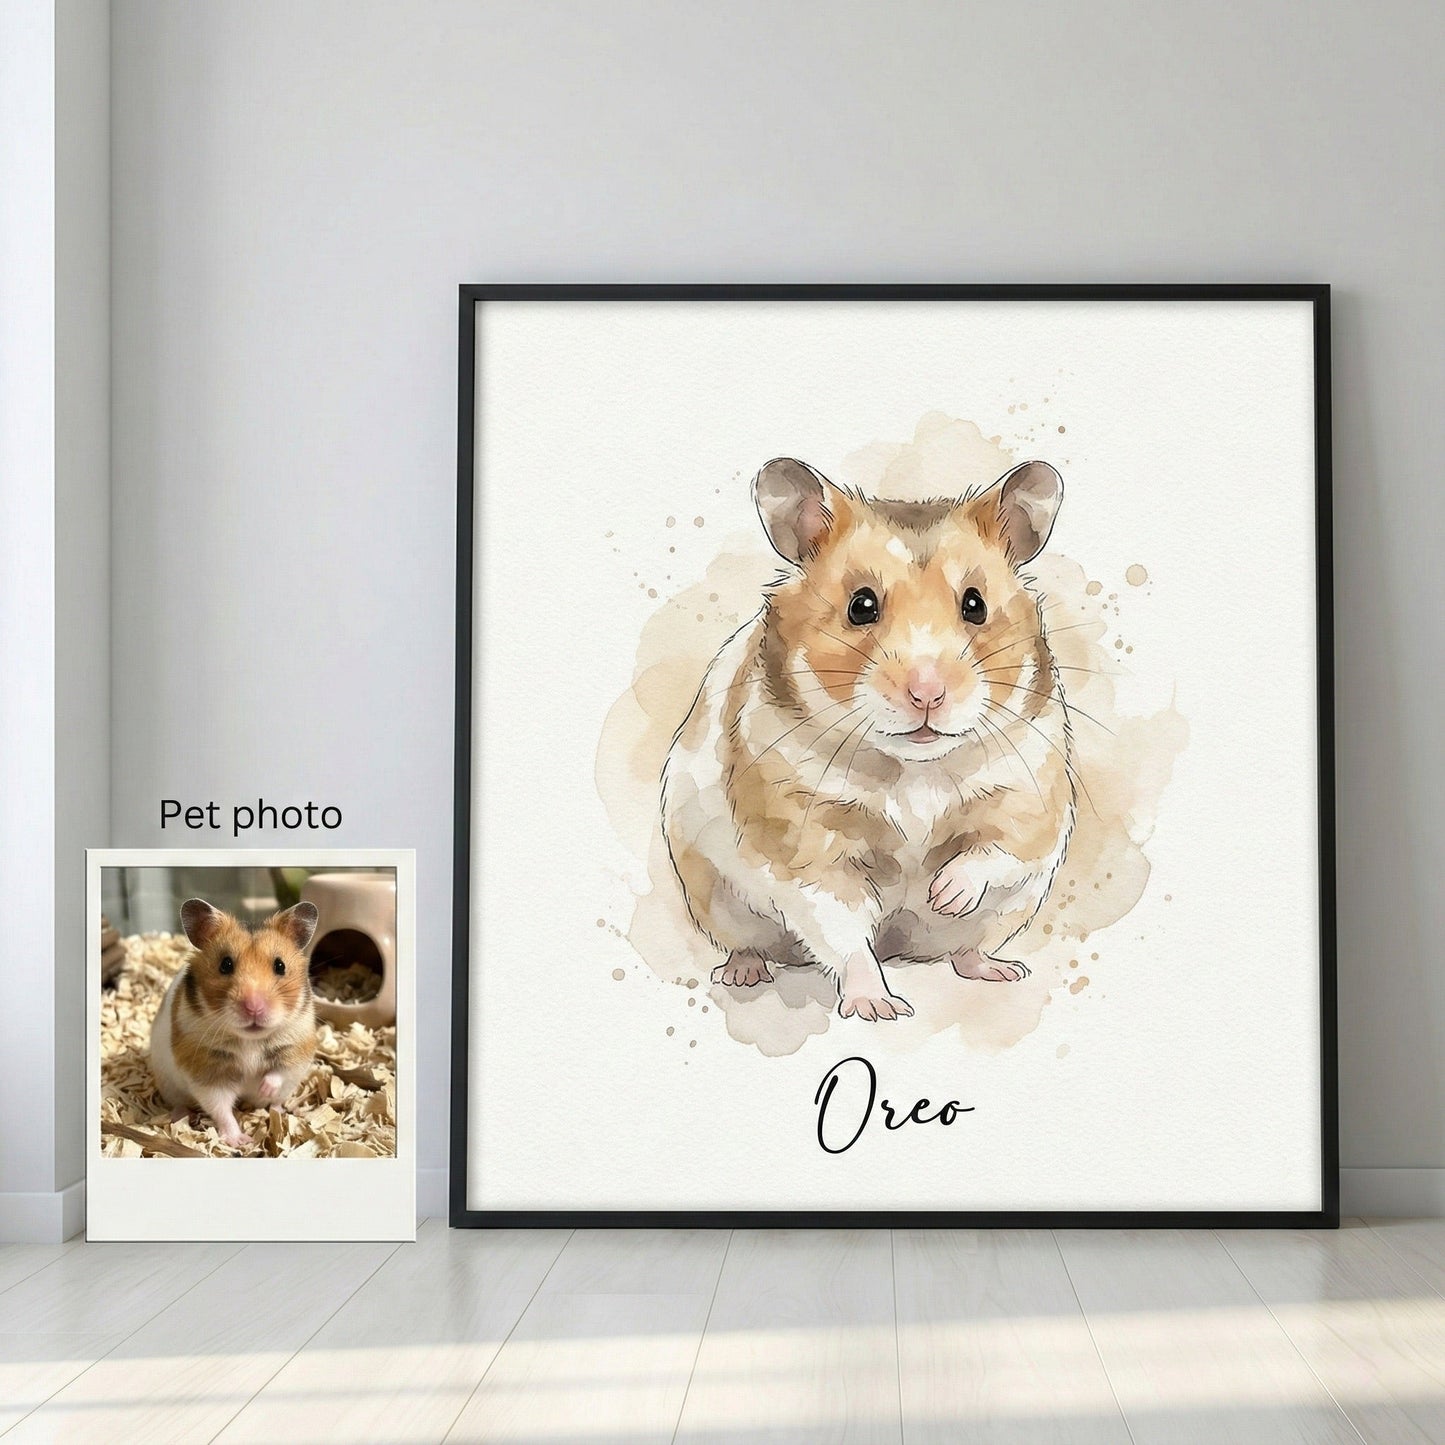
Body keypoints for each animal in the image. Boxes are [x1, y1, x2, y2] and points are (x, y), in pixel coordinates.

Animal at [149, 898, 320, 1148]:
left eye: (280, 966)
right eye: (226, 964)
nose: (254, 1007)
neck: (250, 1040)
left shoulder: (296, 1047)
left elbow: (279, 1071)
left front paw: (263, 1088)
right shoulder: (207, 1069)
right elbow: (221, 1109)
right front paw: (240, 1141)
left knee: (277, 1100)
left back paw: (278, 1110)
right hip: (170, 1085)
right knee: (180, 1103)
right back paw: (182, 1115)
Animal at [662, 456, 1075, 1022]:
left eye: (975, 605)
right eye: (861, 606)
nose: (928, 693)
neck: (914, 768)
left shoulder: (1029, 789)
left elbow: (1000, 849)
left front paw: (943, 892)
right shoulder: (808, 840)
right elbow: (843, 929)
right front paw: (879, 1008)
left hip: (1009, 910)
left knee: (967, 947)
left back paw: (998, 968)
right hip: (718, 899)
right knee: (752, 944)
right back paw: (743, 974)